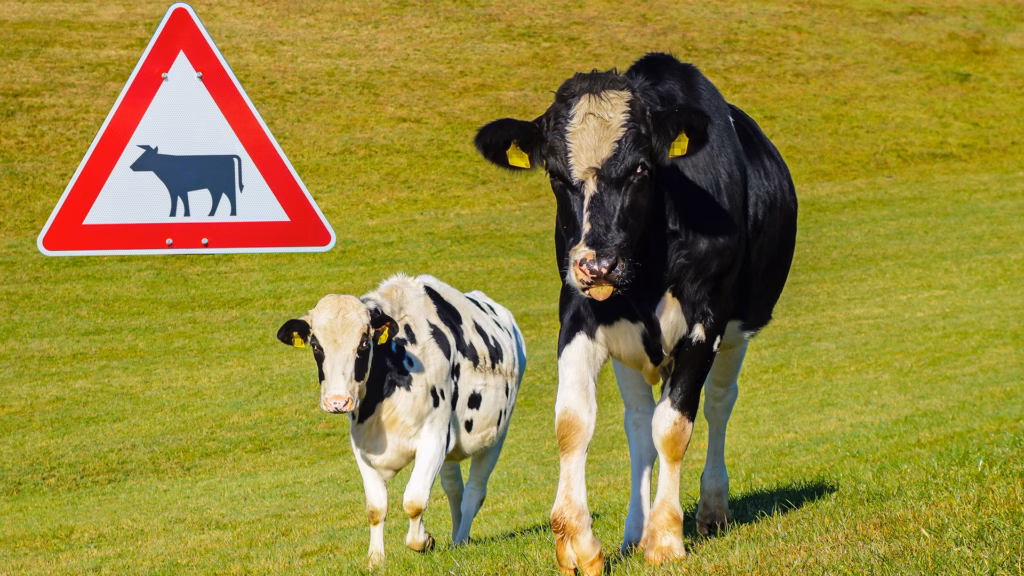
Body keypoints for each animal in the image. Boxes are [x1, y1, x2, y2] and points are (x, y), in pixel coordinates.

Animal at [276, 274, 527, 565]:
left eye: (364, 343)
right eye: (316, 345)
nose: (337, 402)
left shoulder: (434, 438)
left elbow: (414, 500)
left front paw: (424, 541)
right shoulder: (362, 446)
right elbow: (376, 508)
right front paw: (375, 559)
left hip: (496, 435)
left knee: (474, 491)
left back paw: (461, 539)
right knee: (455, 489)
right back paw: (456, 539)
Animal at [474, 53, 797, 573]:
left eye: (642, 168)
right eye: (555, 177)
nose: (599, 264)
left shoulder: (707, 319)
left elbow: (675, 426)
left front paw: (665, 538)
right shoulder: (578, 314)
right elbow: (573, 423)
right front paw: (578, 541)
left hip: (737, 332)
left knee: (718, 403)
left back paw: (711, 510)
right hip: (629, 348)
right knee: (638, 422)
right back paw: (633, 532)